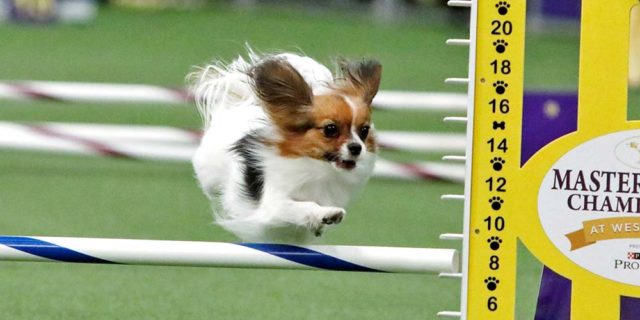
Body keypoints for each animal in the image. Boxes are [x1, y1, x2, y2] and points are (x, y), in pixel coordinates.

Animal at [189, 49, 380, 242]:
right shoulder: (274, 206)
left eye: (364, 130)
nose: (357, 147)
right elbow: (304, 206)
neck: (318, 169)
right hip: (209, 174)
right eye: (330, 129)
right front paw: (326, 214)